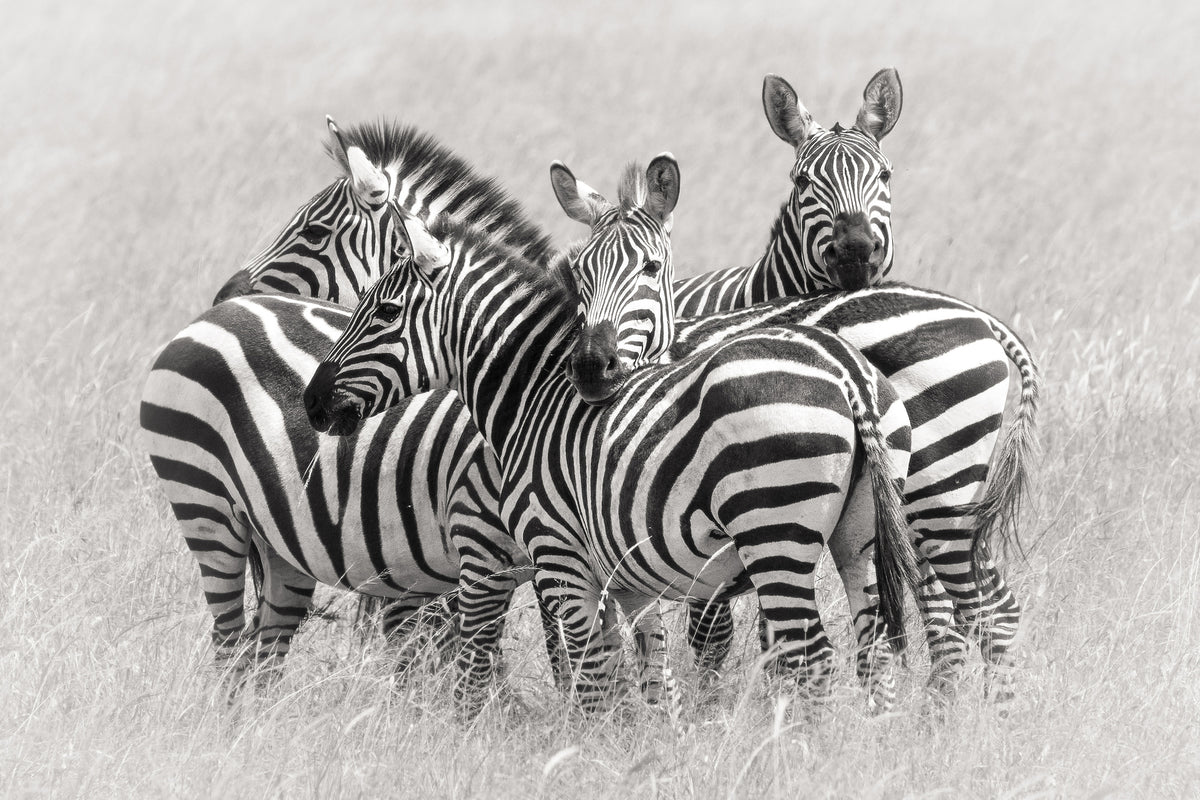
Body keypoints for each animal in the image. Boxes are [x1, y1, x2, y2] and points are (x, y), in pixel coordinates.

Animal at [303, 199, 922, 711]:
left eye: (384, 312)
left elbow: (592, 676)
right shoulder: (628, 577)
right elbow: (649, 676)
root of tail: (847, 373)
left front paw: (587, 752)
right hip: (858, 539)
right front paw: (651, 751)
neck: (533, 396)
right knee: (872, 651)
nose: (310, 402)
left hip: (775, 533)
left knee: (812, 657)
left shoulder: (560, 557)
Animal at [550, 74, 1039, 695]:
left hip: (935, 493)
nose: (855, 251)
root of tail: (982, 319)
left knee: (974, 608)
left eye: (885, 175)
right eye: (803, 181)